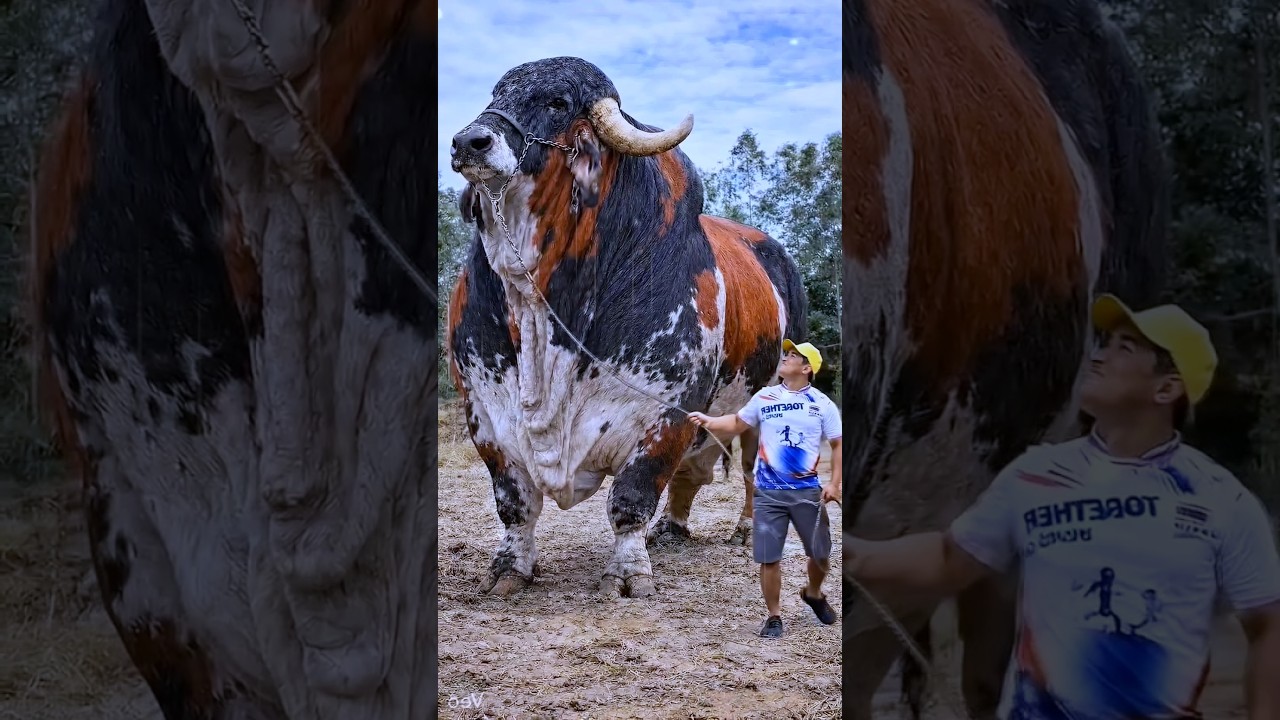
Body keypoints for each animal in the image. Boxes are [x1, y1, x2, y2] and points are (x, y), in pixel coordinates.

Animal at [446, 56, 808, 599]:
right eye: (496, 94)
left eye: (558, 102)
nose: (470, 142)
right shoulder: (484, 414)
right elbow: (515, 504)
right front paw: (509, 568)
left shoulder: (667, 413)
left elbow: (631, 498)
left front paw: (629, 572)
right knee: (692, 475)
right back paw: (672, 528)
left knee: (749, 471)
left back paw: (747, 528)